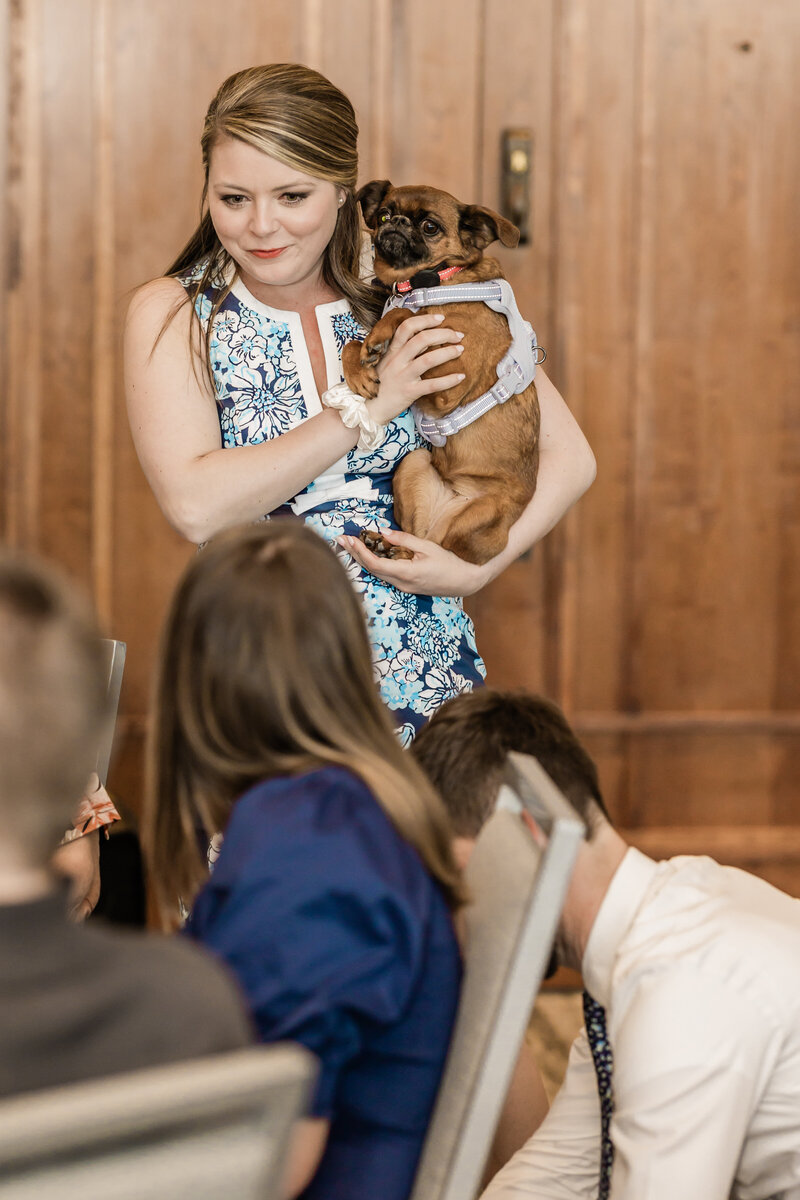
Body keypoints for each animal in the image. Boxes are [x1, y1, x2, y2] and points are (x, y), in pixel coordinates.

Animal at [340, 180, 542, 564]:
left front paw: (381, 333)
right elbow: (352, 344)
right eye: (384, 214)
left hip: (476, 518)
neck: (428, 284)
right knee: (415, 545)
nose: (397, 222)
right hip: (415, 464)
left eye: (430, 226)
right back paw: (385, 545)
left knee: (433, 552)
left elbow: (405, 314)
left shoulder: (451, 377)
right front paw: (359, 370)